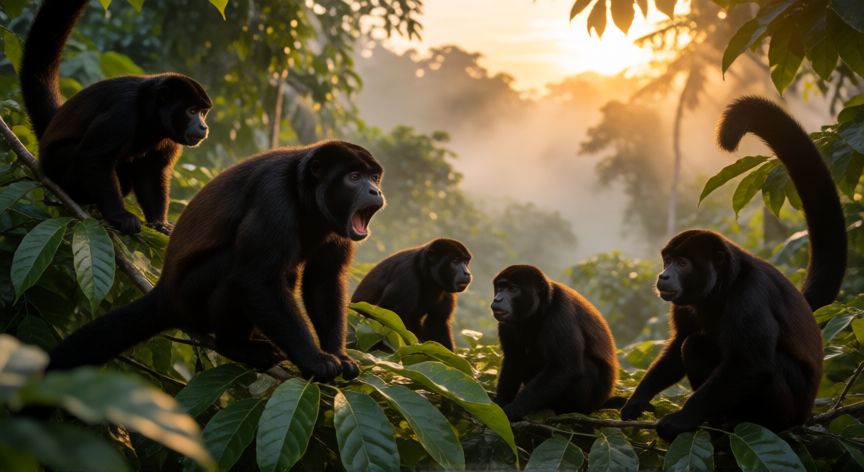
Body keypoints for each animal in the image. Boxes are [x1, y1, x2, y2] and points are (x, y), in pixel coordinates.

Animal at [20, 0, 213, 234]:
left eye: (203, 112)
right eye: (192, 111)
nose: (203, 126)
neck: (151, 115)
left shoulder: (168, 136)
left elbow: (152, 173)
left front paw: (160, 223)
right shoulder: (122, 112)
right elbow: (94, 157)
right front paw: (120, 217)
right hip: (56, 164)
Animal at [46, 141, 385, 382]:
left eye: (373, 176)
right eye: (354, 177)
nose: (375, 190)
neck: (306, 195)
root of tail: (164, 294)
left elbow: (324, 281)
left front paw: (340, 355)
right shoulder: (273, 195)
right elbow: (255, 278)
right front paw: (315, 360)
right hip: (189, 298)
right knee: (235, 268)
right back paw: (236, 346)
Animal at [491, 265, 618, 421]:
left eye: (513, 289)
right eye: (500, 287)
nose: (497, 299)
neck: (542, 307)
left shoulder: (560, 314)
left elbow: (565, 368)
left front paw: (513, 410)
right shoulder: (506, 324)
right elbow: (514, 361)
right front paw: (499, 405)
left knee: (585, 365)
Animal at [620, 97, 847, 441]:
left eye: (682, 263)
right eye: (667, 259)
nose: (664, 275)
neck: (721, 287)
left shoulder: (750, 294)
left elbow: (750, 364)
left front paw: (680, 421)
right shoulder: (684, 303)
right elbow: (678, 344)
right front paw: (637, 399)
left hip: (792, 408)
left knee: (763, 365)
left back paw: (757, 422)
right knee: (694, 345)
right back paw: (719, 418)